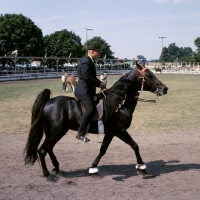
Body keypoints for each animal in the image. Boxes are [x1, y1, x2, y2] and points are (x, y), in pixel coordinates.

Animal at [24, 61, 168, 179]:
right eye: (149, 75)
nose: (164, 88)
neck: (119, 102)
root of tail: (48, 102)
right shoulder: (119, 131)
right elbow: (134, 145)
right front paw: (142, 167)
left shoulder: (110, 133)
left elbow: (103, 150)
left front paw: (93, 168)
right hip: (55, 133)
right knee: (42, 151)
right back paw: (47, 174)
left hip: (57, 132)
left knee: (49, 149)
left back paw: (56, 168)